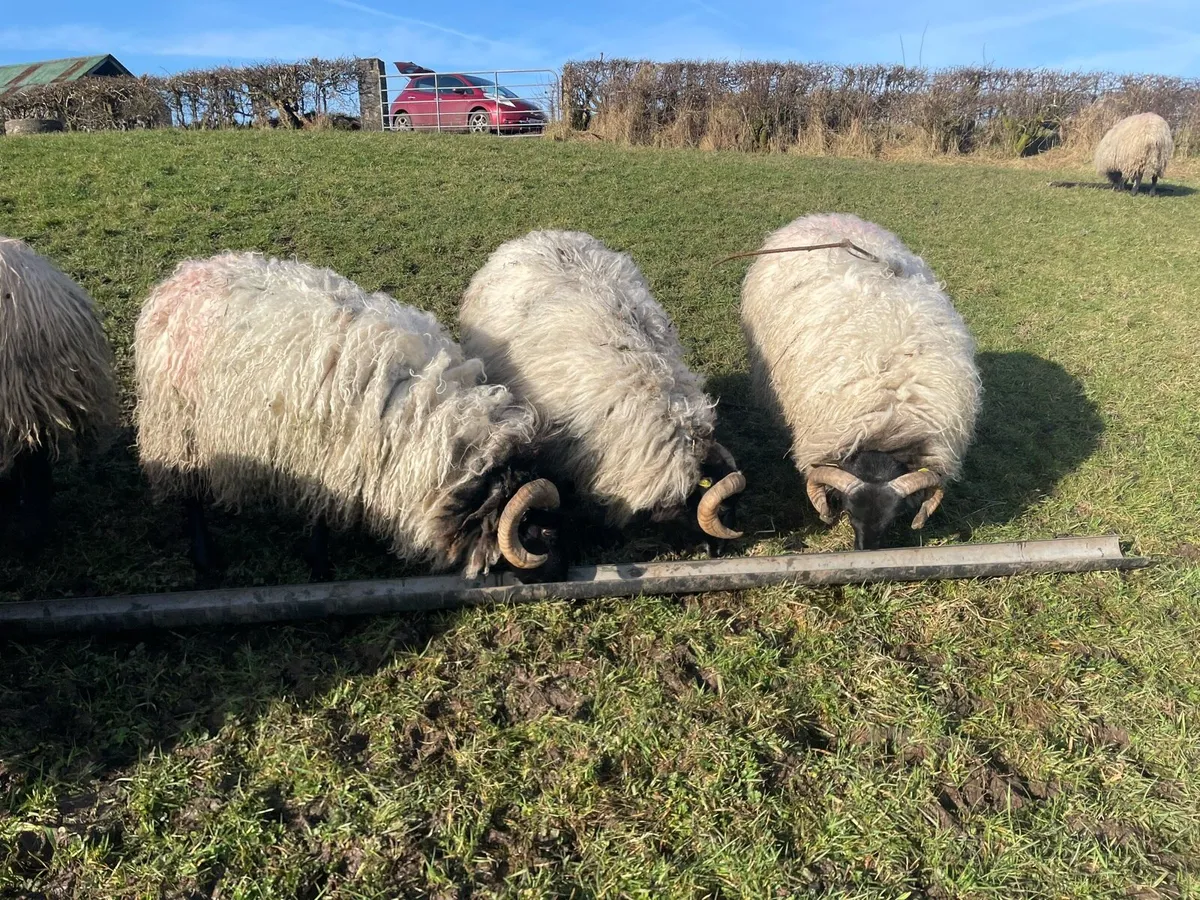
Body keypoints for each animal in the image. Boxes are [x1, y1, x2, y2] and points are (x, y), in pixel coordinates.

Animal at [133, 251, 568, 583]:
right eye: (541, 530)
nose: (562, 575)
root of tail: (180, 277)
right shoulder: (326, 459)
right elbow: (322, 519)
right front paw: (319, 565)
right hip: (177, 422)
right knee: (190, 493)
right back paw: (206, 559)